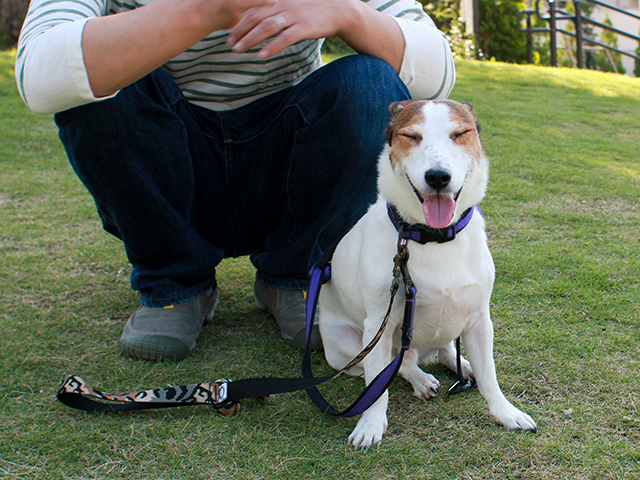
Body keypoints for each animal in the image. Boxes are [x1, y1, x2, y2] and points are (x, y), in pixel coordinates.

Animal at [318, 99, 536, 448]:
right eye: (411, 136)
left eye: (460, 134)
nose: (438, 177)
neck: (433, 236)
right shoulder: (379, 324)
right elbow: (377, 386)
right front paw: (370, 424)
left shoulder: (479, 320)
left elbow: (490, 375)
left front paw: (505, 412)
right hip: (348, 347)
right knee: (400, 364)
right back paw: (421, 379)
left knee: (444, 350)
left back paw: (463, 366)